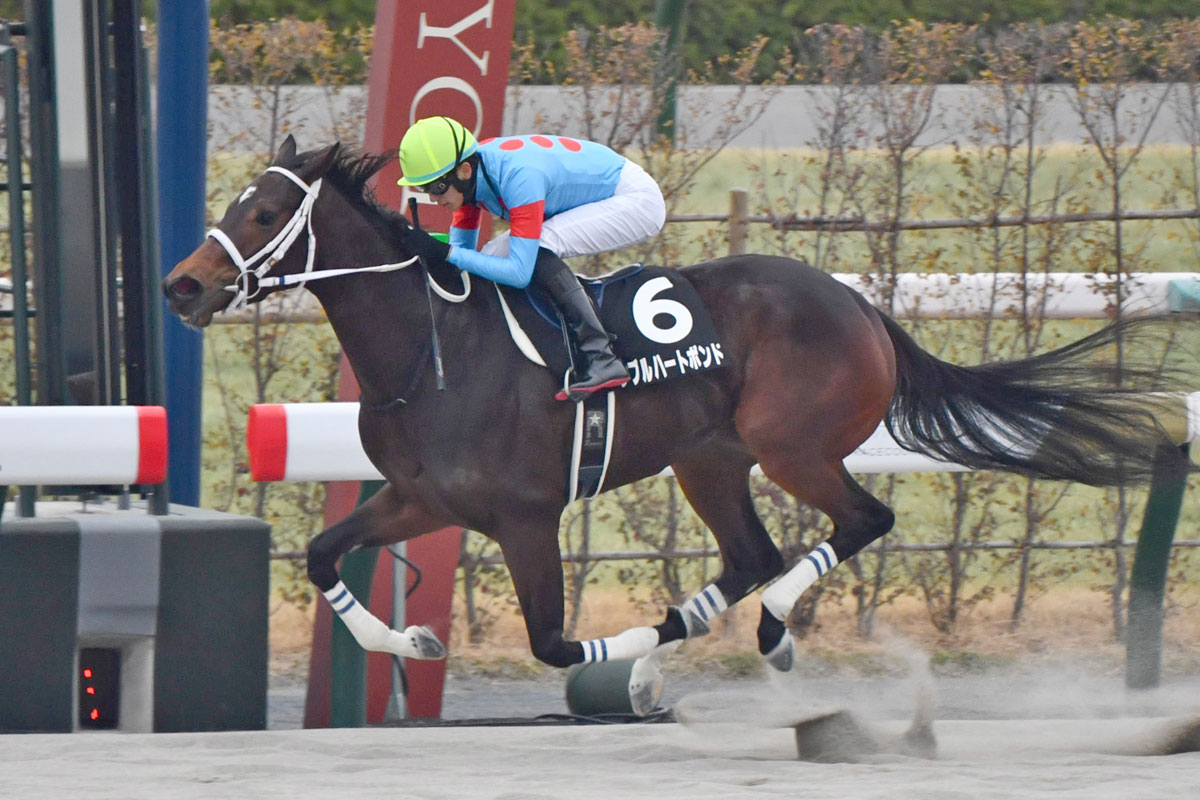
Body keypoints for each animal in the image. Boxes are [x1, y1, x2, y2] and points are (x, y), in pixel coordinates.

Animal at [164, 136, 1192, 715]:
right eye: (229, 201)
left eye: (263, 210)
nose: (182, 285)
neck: (432, 344)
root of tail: (862, 305)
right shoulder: (421, 499)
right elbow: (320, 556)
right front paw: (411, 644)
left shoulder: (528, 516)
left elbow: (552, 641)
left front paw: (619, 667)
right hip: (711, 462)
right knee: (751, 555)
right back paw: (714, 622)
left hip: (792, 445)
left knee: (860, 522)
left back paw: (771, 631)